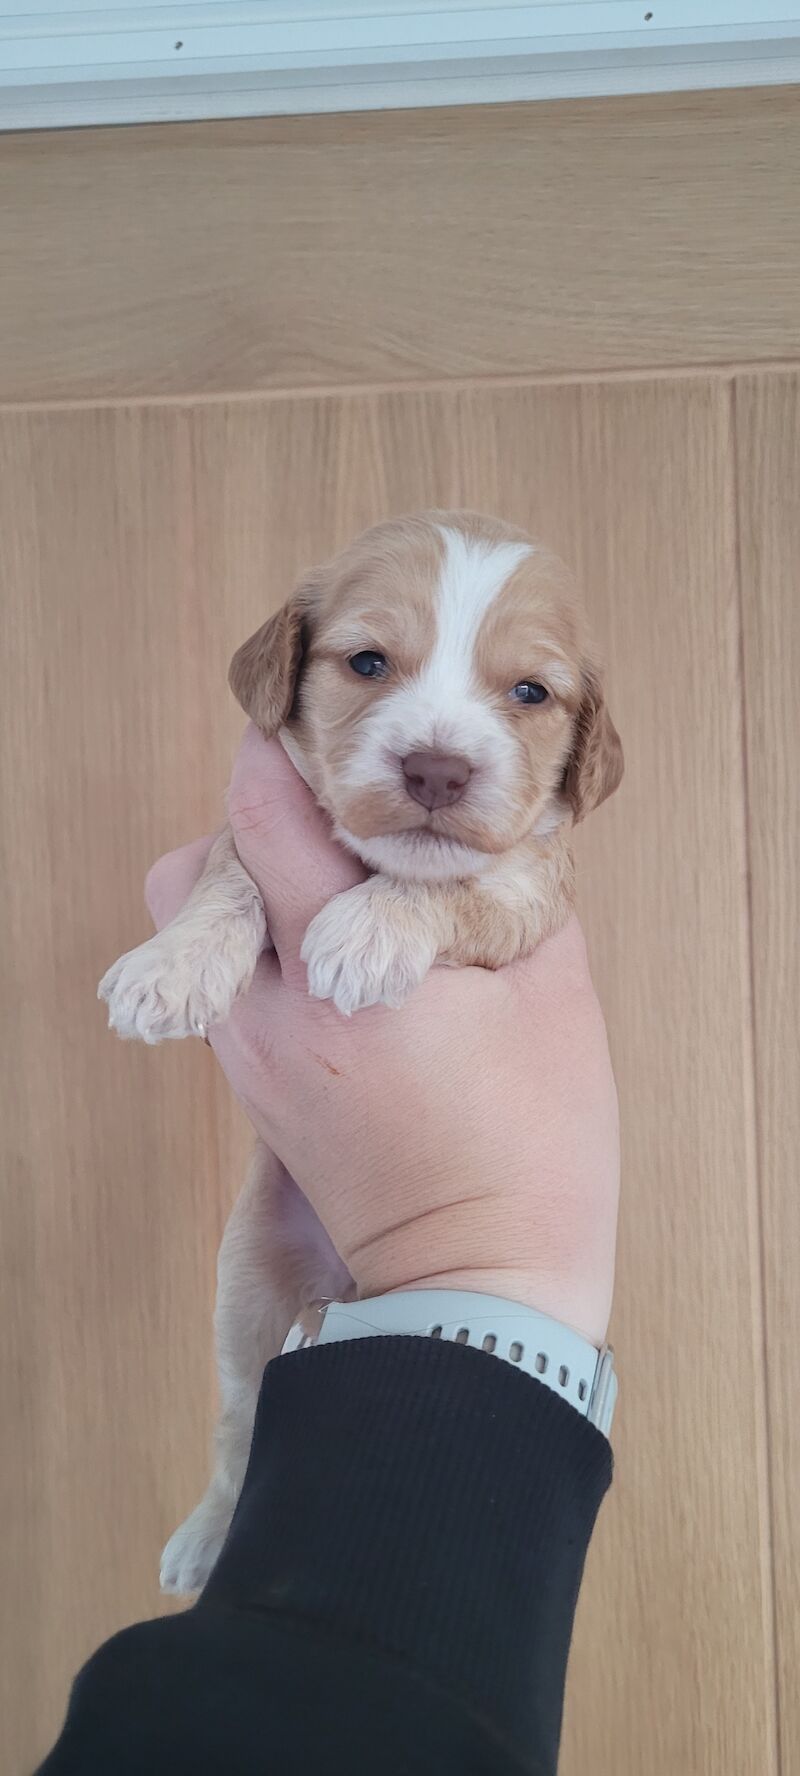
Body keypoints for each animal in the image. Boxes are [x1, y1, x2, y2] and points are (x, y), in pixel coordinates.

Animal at [100, 511, 622, 1598]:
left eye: (530, 693)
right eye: (368, 662)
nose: (437, 770)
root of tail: (353, 1291)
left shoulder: (529, 899)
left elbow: (455, 886)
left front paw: (371, 929)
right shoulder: (241, 833)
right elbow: (231, 876)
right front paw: (171, 967)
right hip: (244, 1291)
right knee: (236, 1424)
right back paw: (204, 1538)